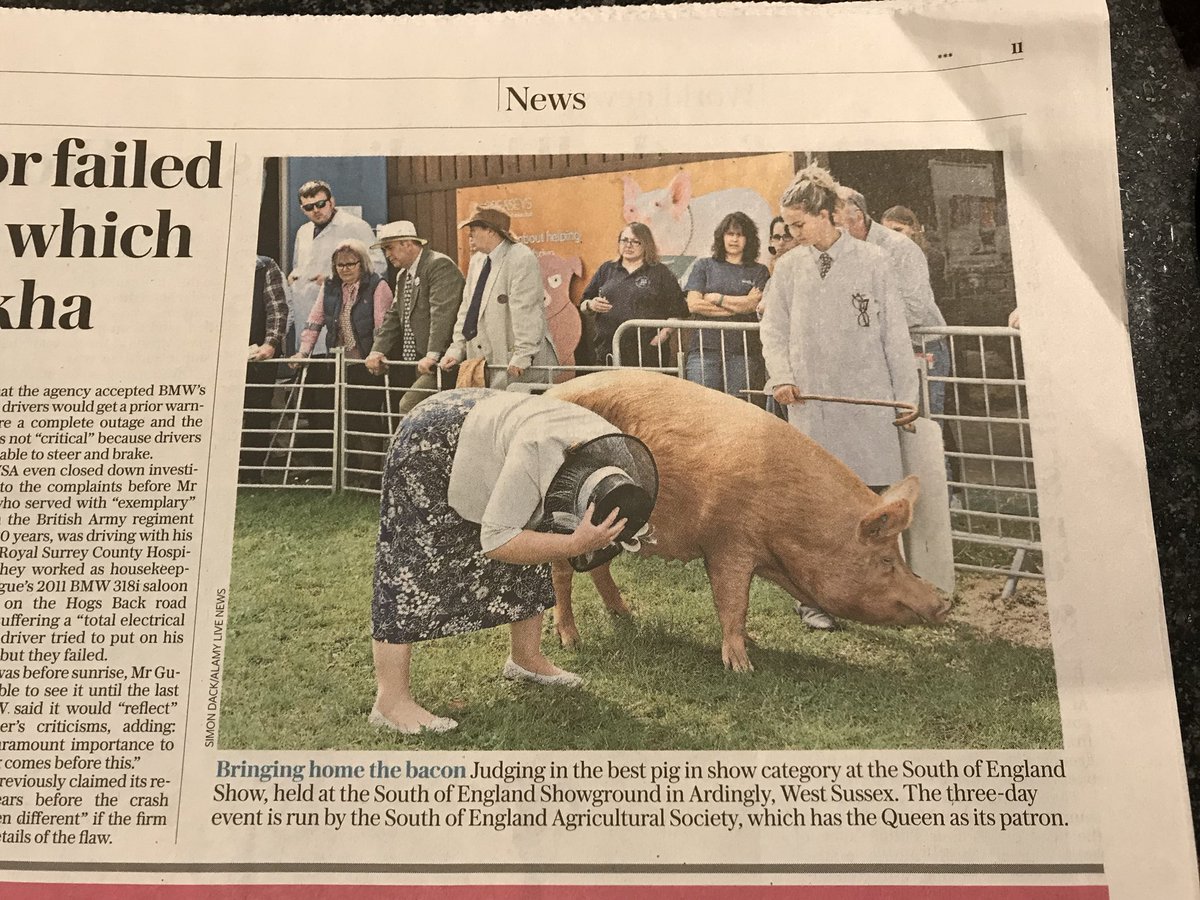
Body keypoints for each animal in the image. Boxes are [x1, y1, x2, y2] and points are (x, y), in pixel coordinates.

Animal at [549, 369, 950, 672]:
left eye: (899, 558)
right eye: (886, 561)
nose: (944, 600)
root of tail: (550, 392)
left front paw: (751, 643)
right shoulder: (727, 543)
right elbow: (733, 601)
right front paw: (742, 667)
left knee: (599, 568)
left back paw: (627, 615)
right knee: (562, 573)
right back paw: (571, 642)